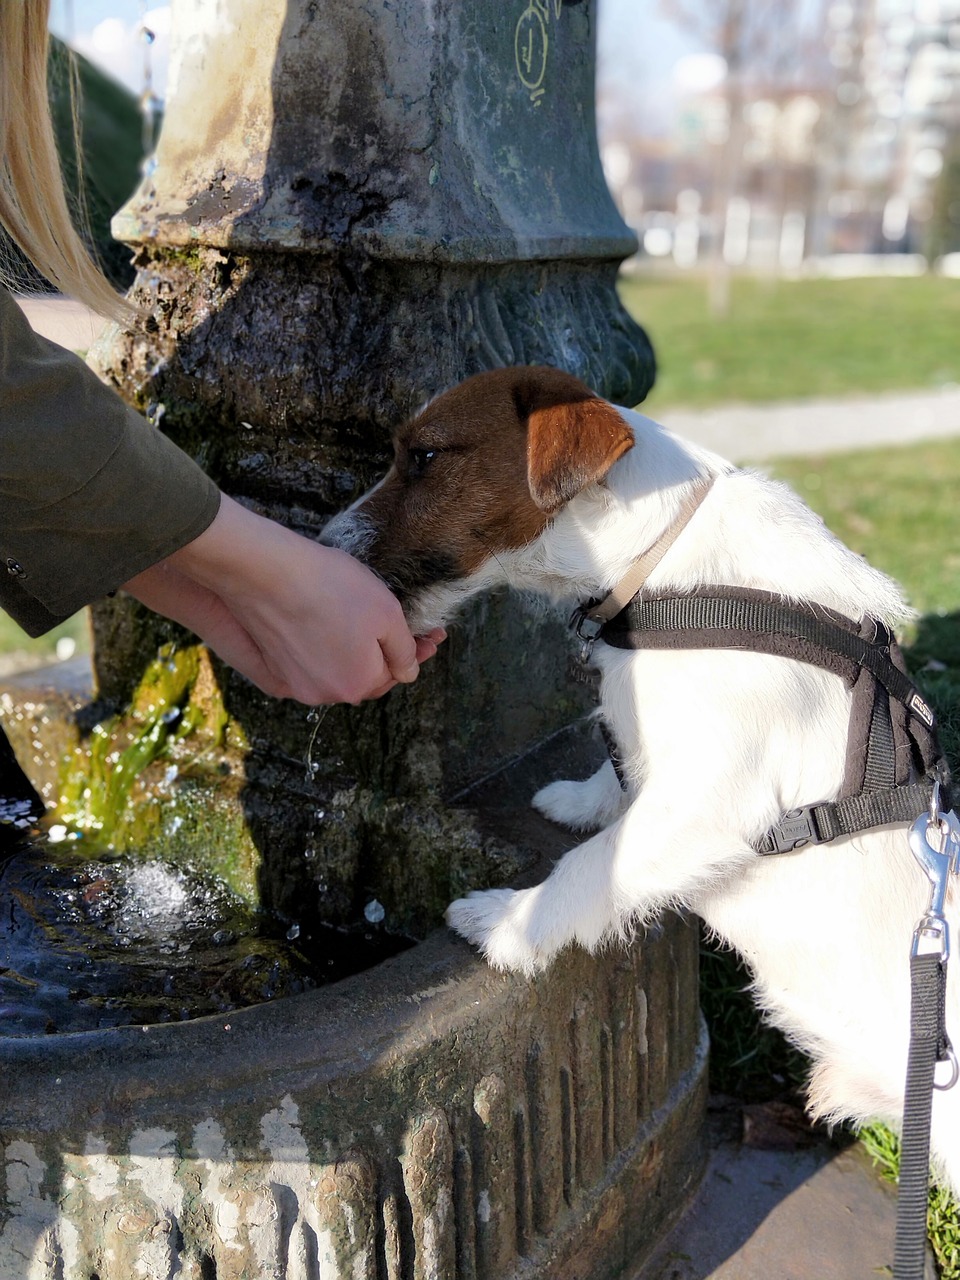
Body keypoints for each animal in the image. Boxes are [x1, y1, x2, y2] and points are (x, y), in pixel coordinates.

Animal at [325, 360, 960, 1187]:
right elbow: (613, 778)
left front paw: (504, 923)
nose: (321, 543)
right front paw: (577, 799)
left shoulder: (710, 802)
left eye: (423, 457)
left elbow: (588, 869)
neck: (661, 567)